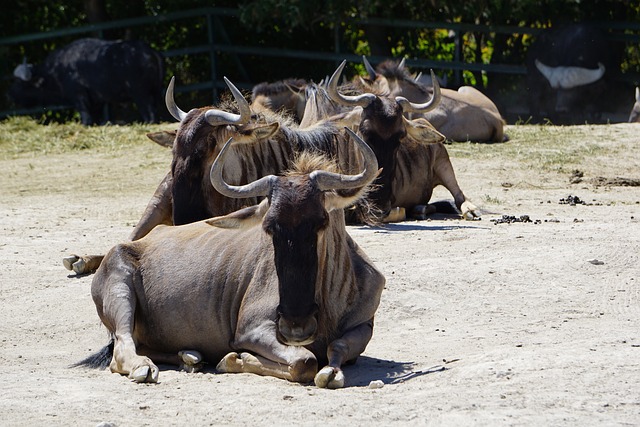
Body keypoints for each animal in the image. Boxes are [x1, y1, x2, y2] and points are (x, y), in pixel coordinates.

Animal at [8, 37, 164, 124]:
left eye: (19, 83)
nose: (9, 95)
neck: (55, 71)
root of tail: (150, 52)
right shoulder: (97, 102)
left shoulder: (79, 97)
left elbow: (86, 118)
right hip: (156, 93)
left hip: (141, 95)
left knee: (149, 113)